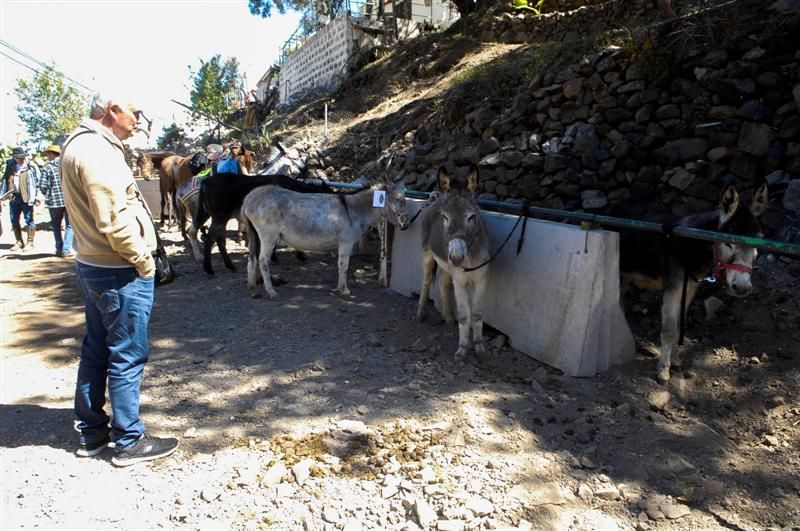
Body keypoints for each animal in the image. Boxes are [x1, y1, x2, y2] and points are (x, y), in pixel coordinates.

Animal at [416, 164, 490, 360]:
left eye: (472, 217)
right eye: (445, 218)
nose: (457, 257)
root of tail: (436, 199)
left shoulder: (480, 279)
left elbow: (477, 314)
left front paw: (479, 346)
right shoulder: (460, 280)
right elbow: (464, 315)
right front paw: (462, 349)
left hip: (447, 265)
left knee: (442, 283)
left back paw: (448, 318)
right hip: (428, 255)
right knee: (426, 281)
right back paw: (420, 314)